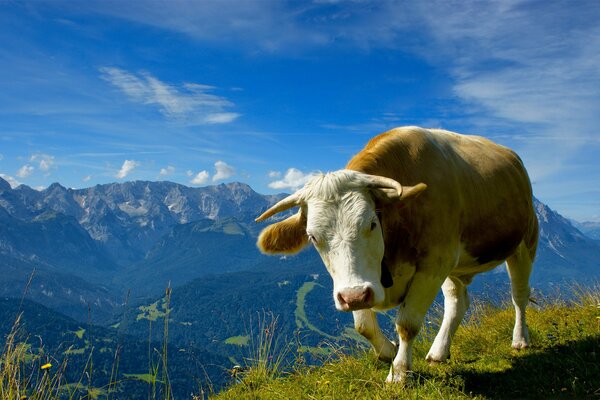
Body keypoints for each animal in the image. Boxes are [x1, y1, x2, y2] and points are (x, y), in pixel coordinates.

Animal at [255, 126, 536, 382]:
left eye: (371, 223)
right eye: (313, 237)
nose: (353, 297)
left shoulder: (433, 265)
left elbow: (407, 324)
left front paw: (399, 373)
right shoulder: (361, 281)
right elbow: (363, 325)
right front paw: (389, 351)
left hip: (525, 242)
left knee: (519, 295)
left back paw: (520, 339)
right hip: (455, 266)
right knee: (457, 301)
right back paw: (439, 352)